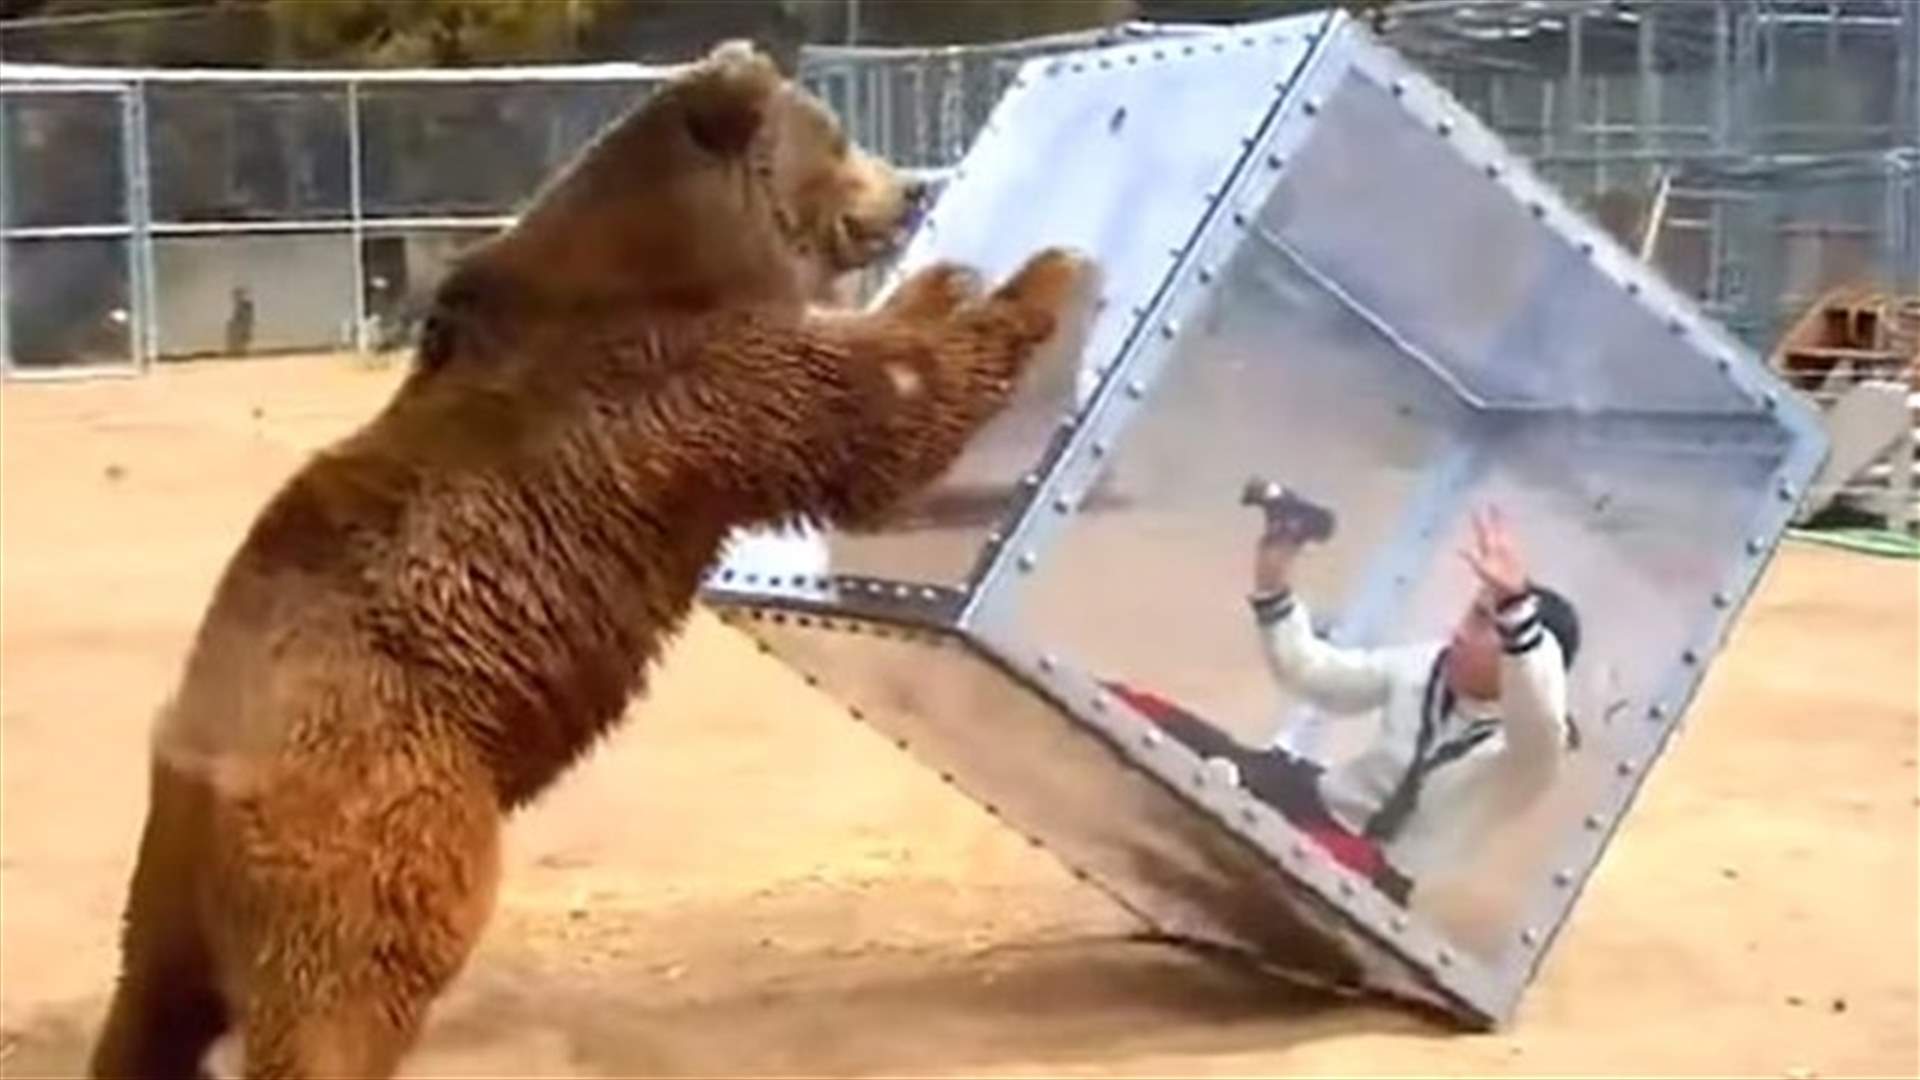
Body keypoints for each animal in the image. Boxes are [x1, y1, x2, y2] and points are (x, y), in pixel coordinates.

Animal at [88, 40, 1097, 1080]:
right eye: (834, 134)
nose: (911, 187)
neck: (691, 249)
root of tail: (202, 769)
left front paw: (949, 277)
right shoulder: (687, 382)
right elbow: (876, 413)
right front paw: (1048, 275)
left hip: (176, 891)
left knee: (152, 1005)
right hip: (378, 818)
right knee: (344, 993)